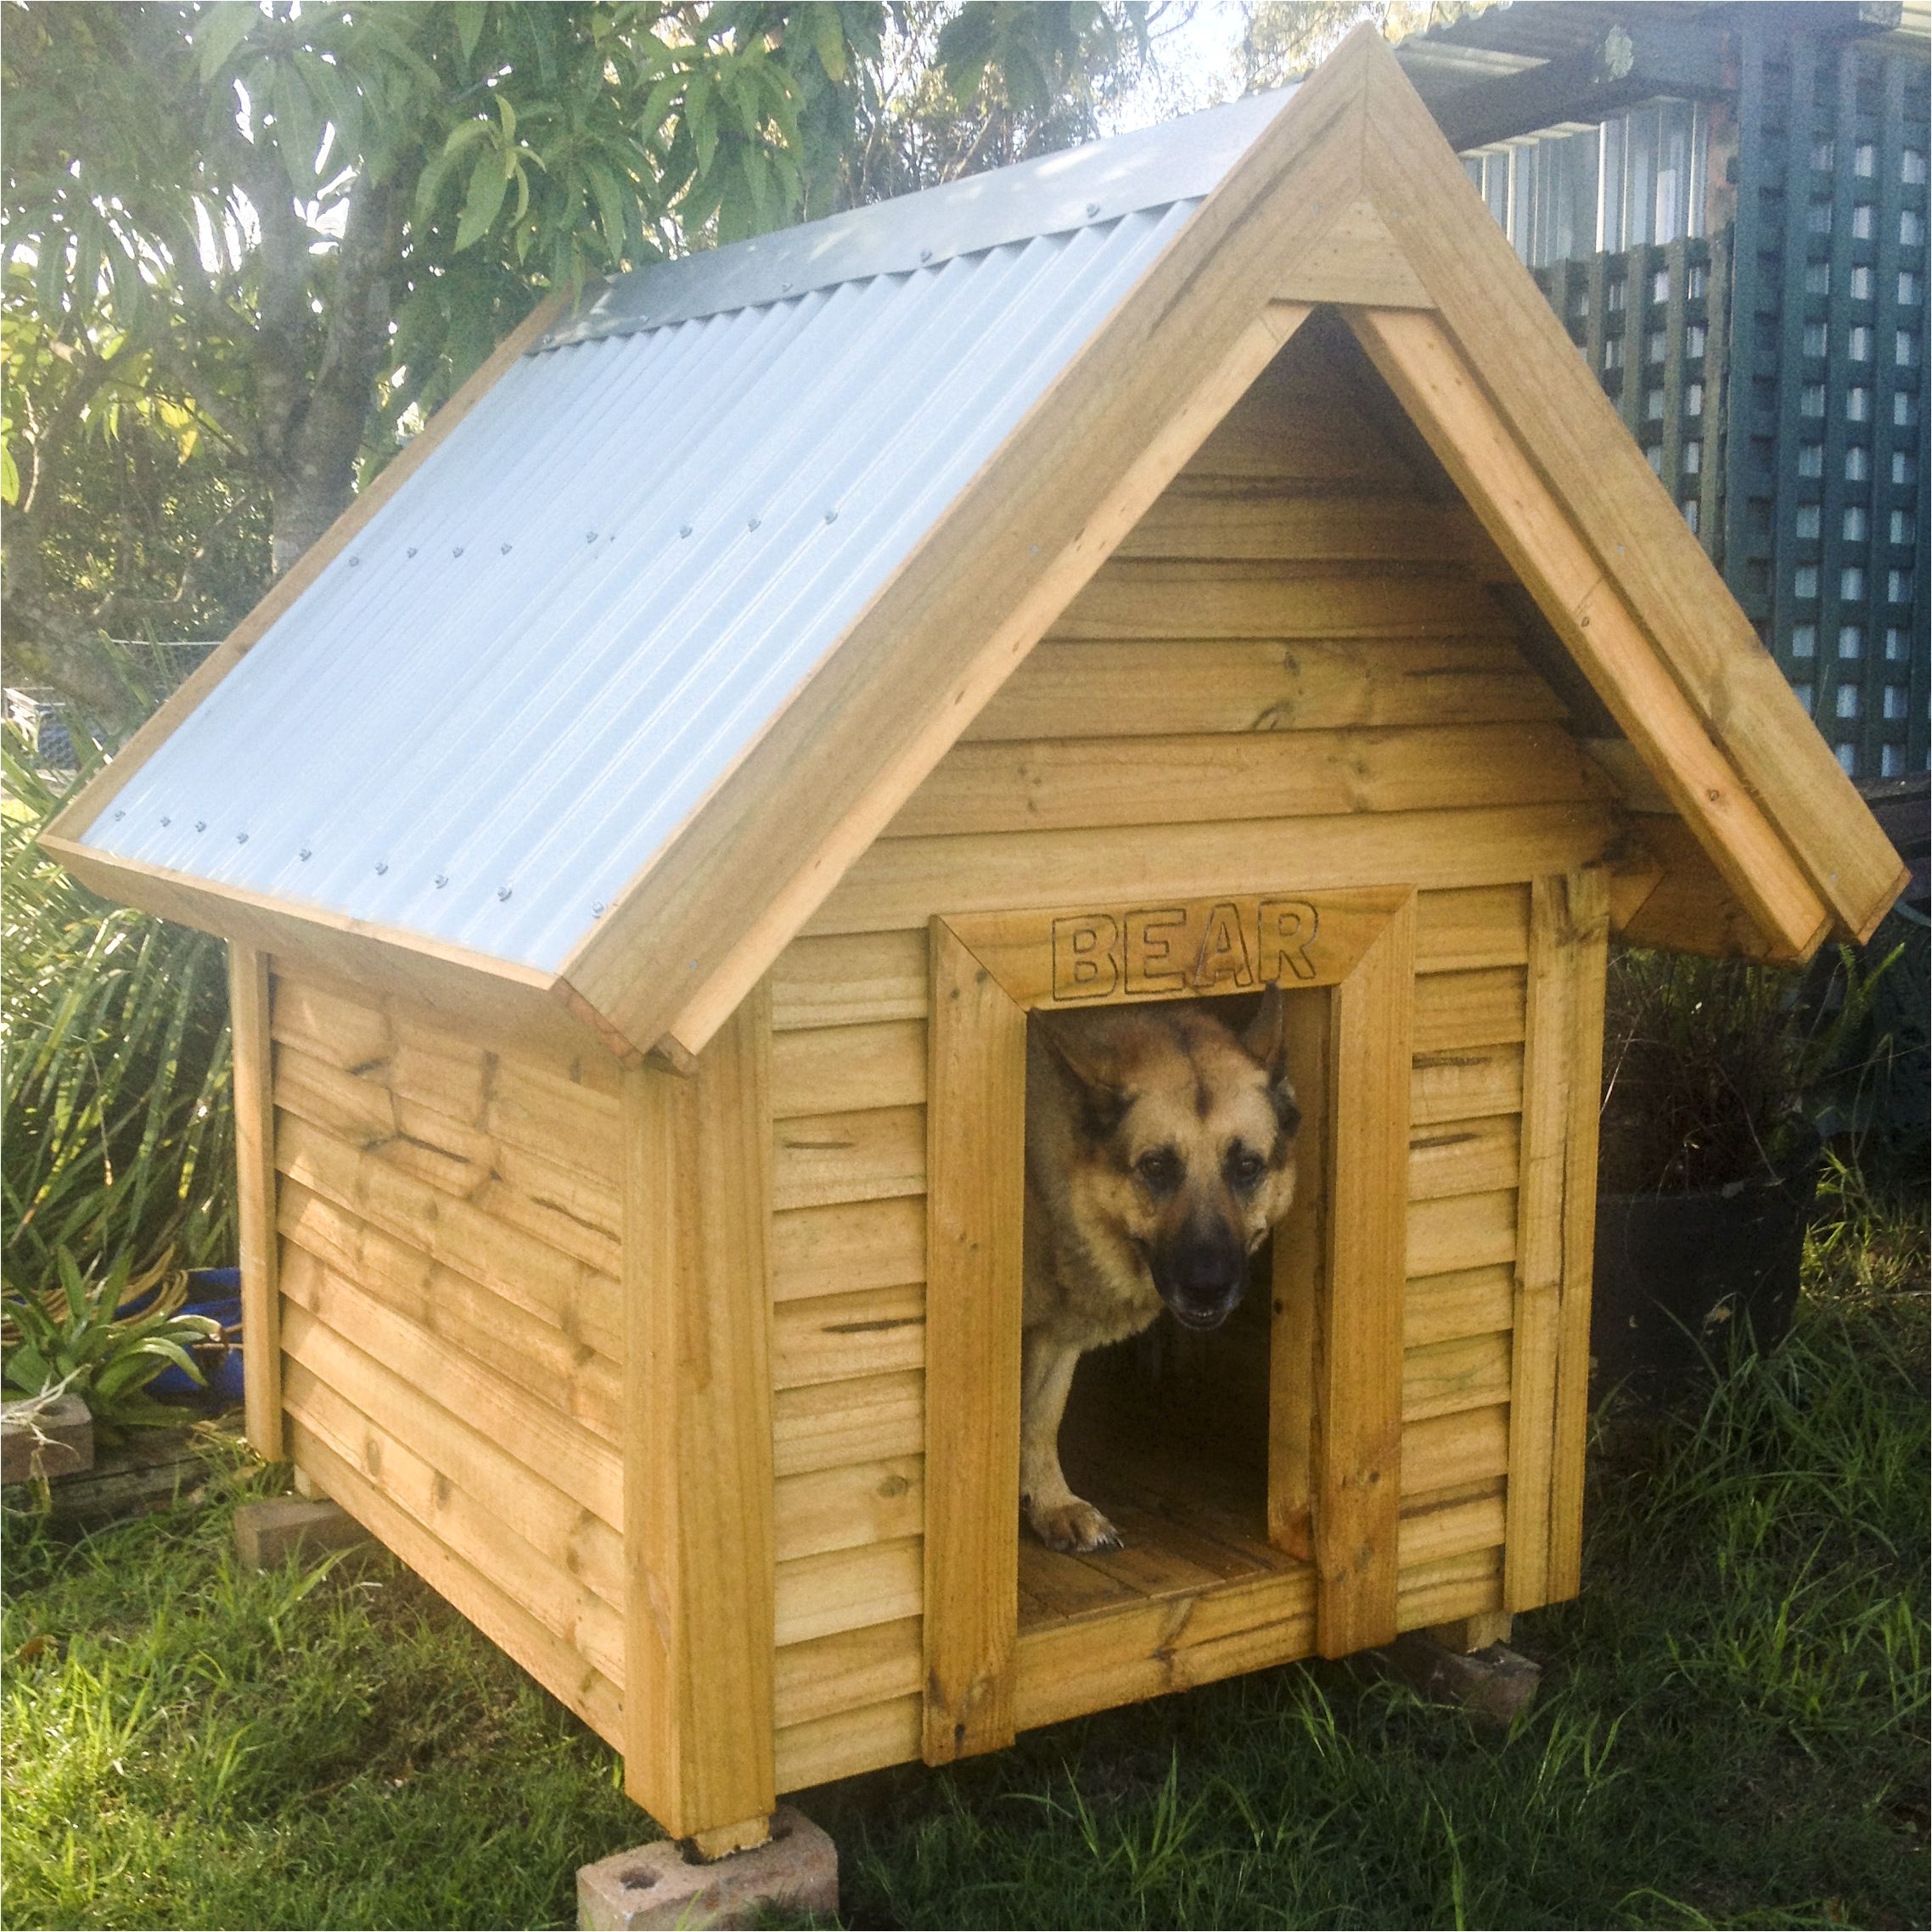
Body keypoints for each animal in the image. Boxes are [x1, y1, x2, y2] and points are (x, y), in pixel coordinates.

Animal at [1027, 997, 1298, 1553]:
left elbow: (1042, 1414)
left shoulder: (1057, 1332)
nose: (1207, 1286)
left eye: (1246, 1166)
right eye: (1156, 1167)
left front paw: (1051, 1504)